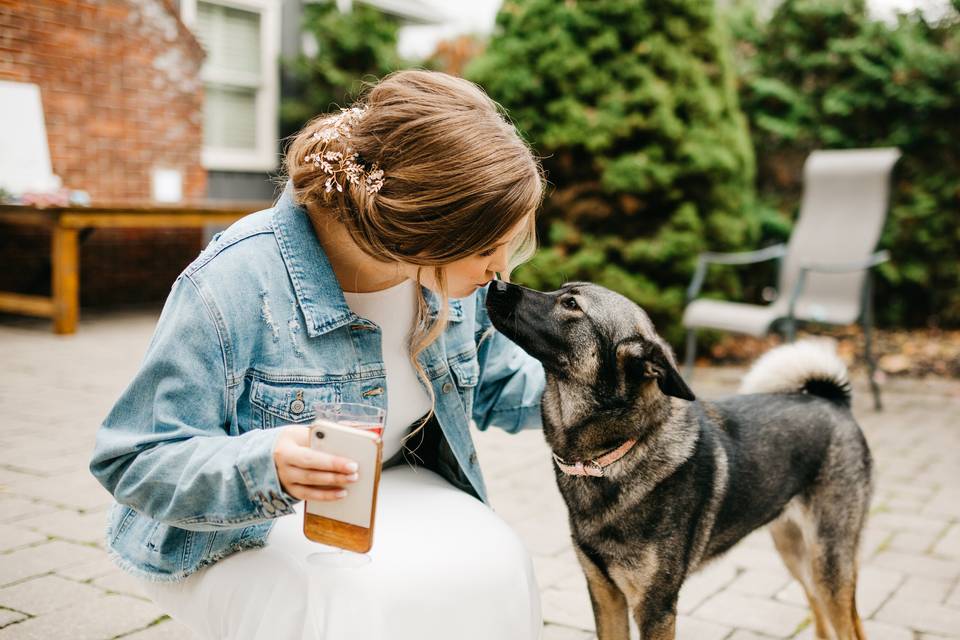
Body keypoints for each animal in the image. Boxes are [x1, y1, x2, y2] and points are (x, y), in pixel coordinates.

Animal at [488, 280, 872, 640]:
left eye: (571, 304)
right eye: (562, 291)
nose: (497, 284)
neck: (613, 454)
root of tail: (832, 399)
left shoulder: (655, 607)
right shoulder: (604, 593)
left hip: (828, 561)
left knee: (848, 626)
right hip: (794, 551)